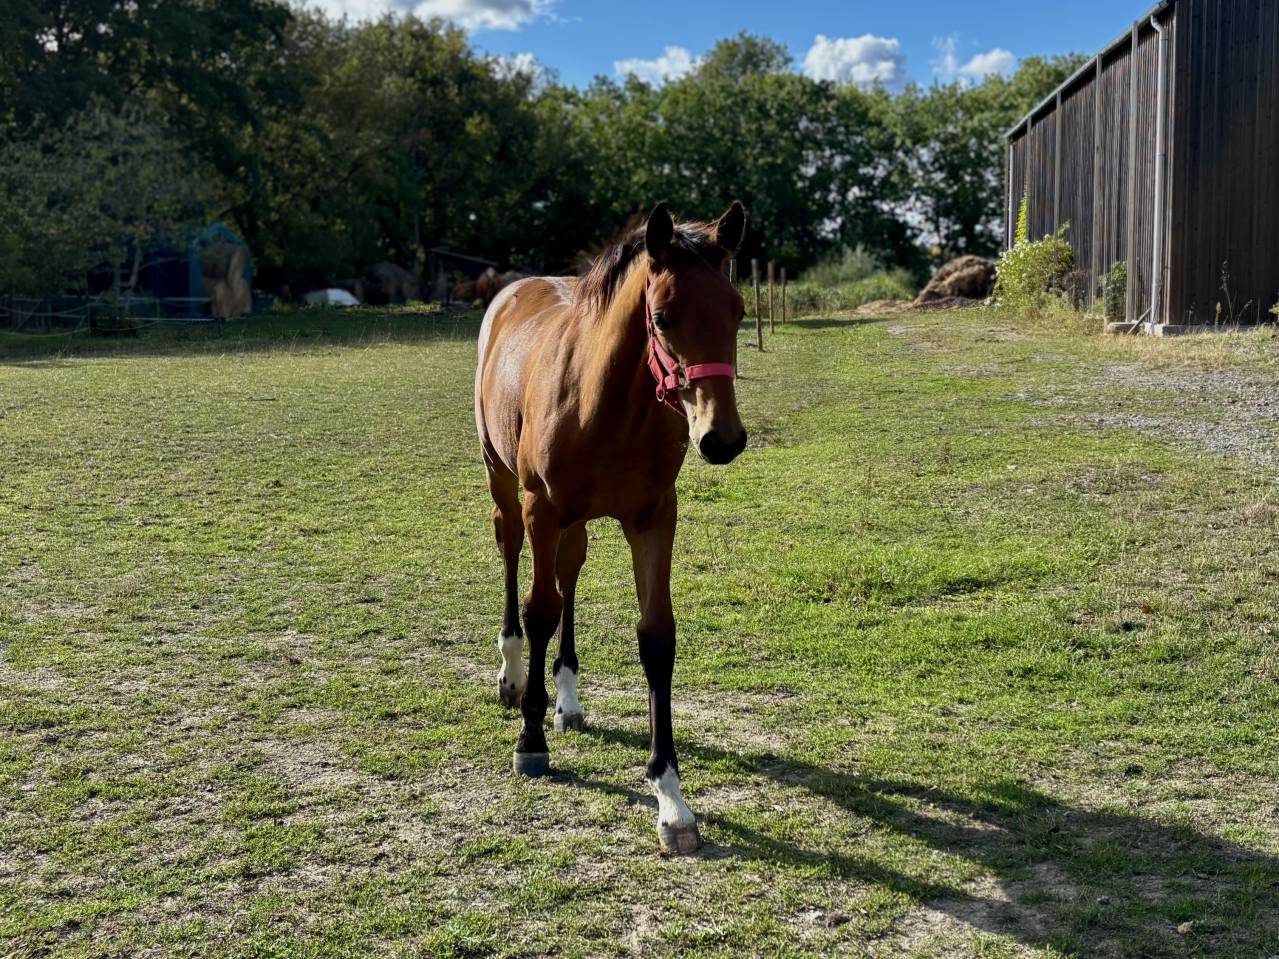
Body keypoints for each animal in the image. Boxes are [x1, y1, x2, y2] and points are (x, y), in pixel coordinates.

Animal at [474, 201, 748, 854]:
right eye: (663, 316)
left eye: (738, 310)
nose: (721, 439)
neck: (607, 403)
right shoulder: (542, 508)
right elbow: (539, 611)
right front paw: (530, 742)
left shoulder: (653, 519)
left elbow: (656, 638)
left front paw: (671, 798)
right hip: (506, 486)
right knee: (512, 558)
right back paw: (512, 675)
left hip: (575, 521)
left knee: (569, 574)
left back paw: (567, 698)